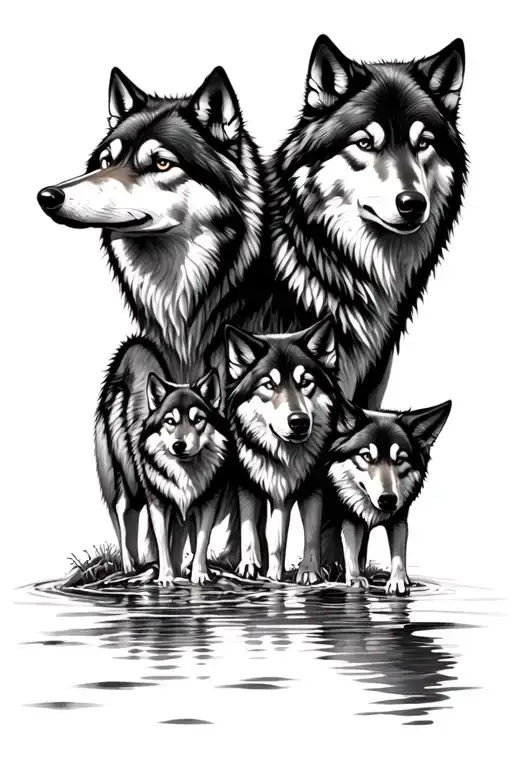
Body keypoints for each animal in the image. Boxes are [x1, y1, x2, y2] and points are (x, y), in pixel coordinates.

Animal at [95, 338, 234, 585]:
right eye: (170, 421)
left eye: (198, 419)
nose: (179, 446)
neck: (185, 473)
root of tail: (131, 350)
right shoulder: (157, 502)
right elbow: (162, 543)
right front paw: (166, 577)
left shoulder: (204, 502)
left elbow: (199, 540)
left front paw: (198, 574)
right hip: (131, 477)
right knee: (122, 510)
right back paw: (129, 566)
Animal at [225, 317, 339, 583]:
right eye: (269, 384)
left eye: (305, 382)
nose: (299, 422)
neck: (284, 457)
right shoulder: (247, 484)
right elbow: (250, 528)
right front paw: (250, 565)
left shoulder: (312, 487)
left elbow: (309, 532)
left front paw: (308, 571)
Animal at [323, 397, 452, 595]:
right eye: (367, 456)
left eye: (400, 460)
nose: (388, 500)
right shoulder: (351, 517)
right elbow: (351, 549)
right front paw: (355, 578)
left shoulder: (399, 519)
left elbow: (398, 553)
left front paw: (399, 582)